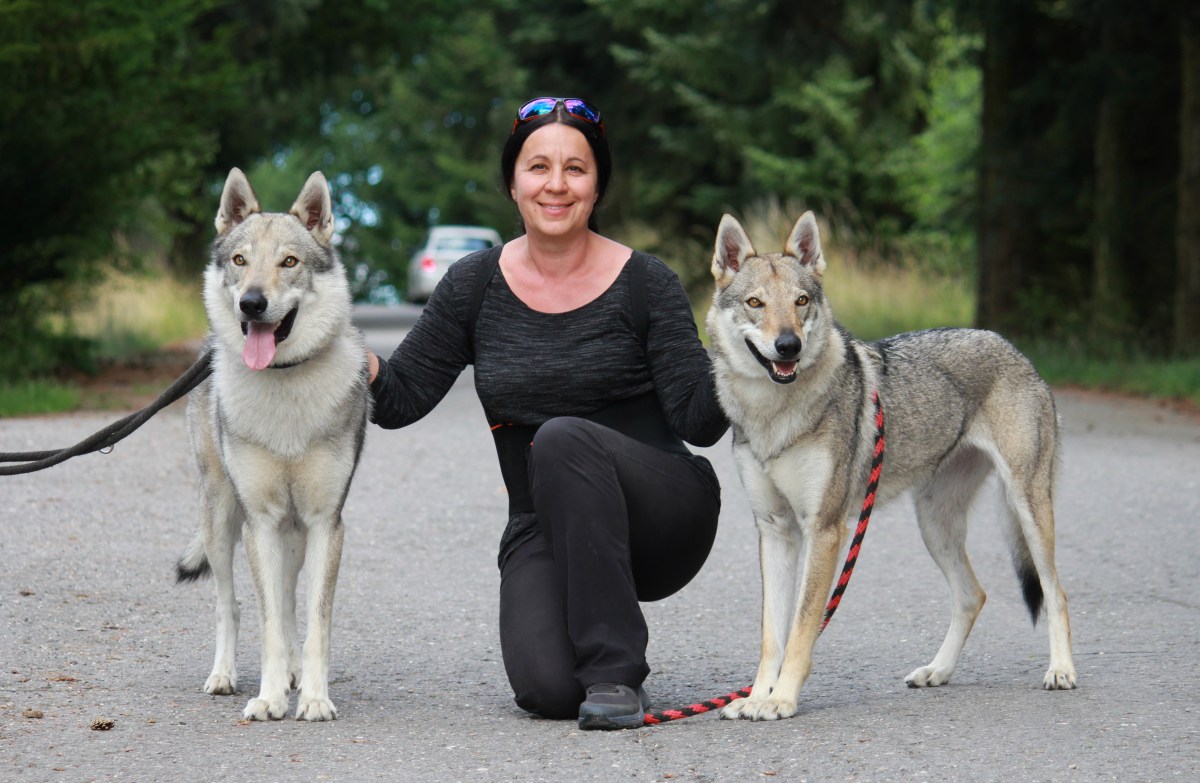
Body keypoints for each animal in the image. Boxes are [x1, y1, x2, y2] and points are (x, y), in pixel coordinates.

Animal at [175, 168, 367, 720]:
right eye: (241, 261)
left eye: (289, 262)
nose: (252, 303)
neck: (284, 384)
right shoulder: (258, 522)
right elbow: (266, 625)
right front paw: (268, 696)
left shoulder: (325, 523)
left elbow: (314, 622)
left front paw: (314, 698)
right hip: (223, 521)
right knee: (232, 603)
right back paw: (225, 676)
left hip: (294, 535)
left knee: (287, 601)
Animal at [700, 208, 1080, 720]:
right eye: (755, 303)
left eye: (801, 301)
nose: (788, 345)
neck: (773, 414)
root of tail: (1012, 347)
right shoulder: (775, 529)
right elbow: (771, 636)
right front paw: (757, 697)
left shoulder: (824, 530)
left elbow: (801, 629)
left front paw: (781, 699)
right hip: (934, 525)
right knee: (973, 595)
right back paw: (937, 671)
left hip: (1027, 509)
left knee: (1055, 592)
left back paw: (1061, 671)